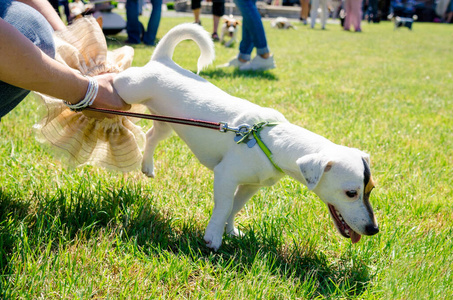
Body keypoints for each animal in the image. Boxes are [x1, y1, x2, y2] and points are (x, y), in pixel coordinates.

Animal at [113, 23, 378, 250]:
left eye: (371, 189)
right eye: (351, 193)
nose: (374, 229)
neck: (271, 139)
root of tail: (164, 61)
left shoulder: (251, 185)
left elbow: (235, 207)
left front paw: (230, 231)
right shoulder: (225, 176)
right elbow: (224, 206)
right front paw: (213, 237)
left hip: (168, 122)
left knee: (151, 136)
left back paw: (147, 166)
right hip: (130, 90)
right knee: (117, 81)